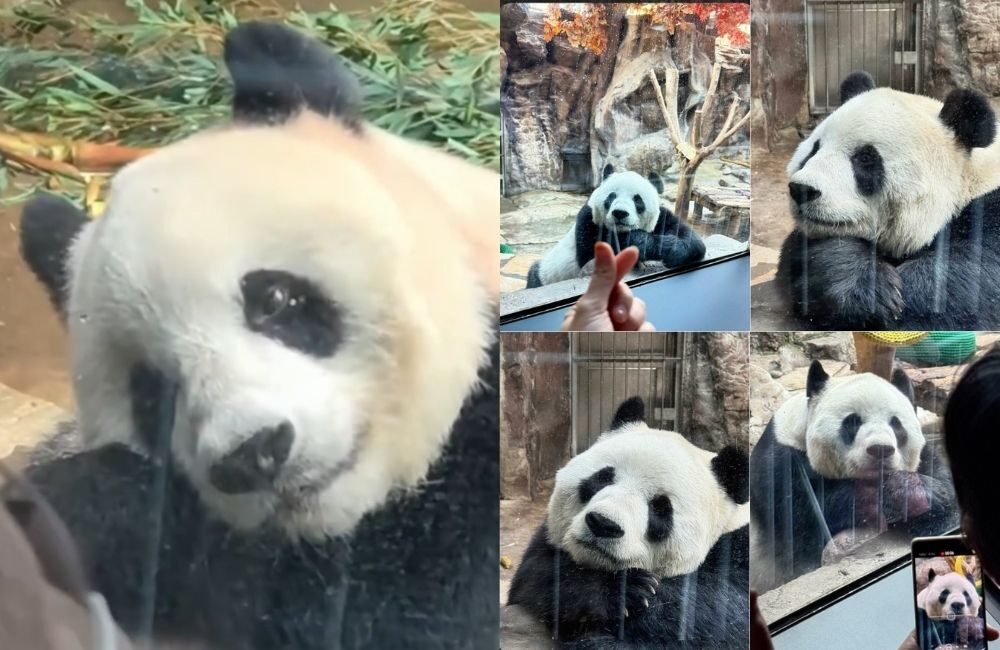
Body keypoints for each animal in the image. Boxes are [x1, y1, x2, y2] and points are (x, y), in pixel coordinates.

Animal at [506, 396, 750, 649]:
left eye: (660, 508)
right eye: (603, 478)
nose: (603, 524)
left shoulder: (738, 556)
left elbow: (708, 612)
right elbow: (536, 576)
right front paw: (628, 590)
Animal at [525, 164, 705, 288]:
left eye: (637, 200)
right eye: (611, 196)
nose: (620, 213)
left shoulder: (662, 219)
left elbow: (692, 242)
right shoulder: (588, 219)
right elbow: (589, 256)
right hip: (547, 272)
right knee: (534, 276)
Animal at [749, 360, 958, 592]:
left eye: (896, 423)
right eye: (853, 422)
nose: (880, 449)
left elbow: (942, 484)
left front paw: (930, 498)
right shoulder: (780, 465)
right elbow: (810, 514)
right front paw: (907, 496)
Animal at [776, 70, 1000, 330]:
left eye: (865, 158)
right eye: (814, 149)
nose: (802, 189)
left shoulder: (989, 212)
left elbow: (968, 277)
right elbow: (814, 253)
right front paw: (868, 294)